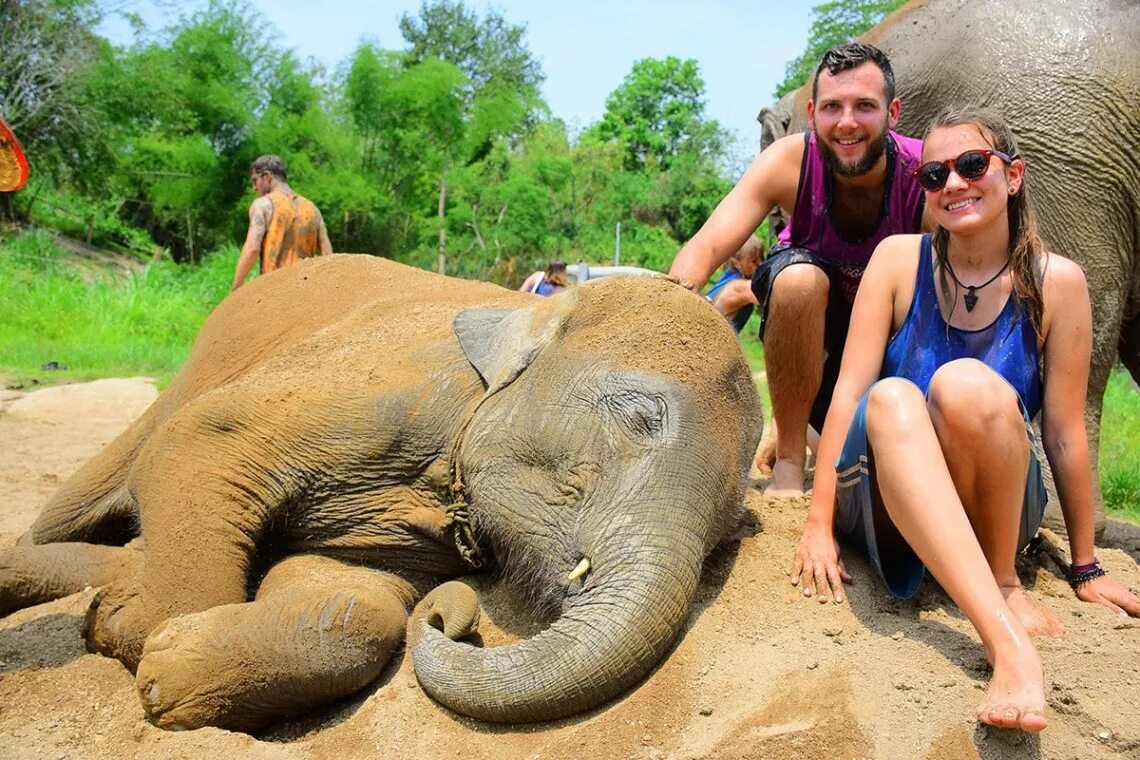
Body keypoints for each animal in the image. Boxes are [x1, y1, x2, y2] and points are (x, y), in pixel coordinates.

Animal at [2, 257, 766, 738]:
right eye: (639, 417)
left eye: (727, 534)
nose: (454, 616)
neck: (530, 313)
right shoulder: (377, 383)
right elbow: (201, 441)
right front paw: (125, 621)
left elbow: (353, 601)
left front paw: (169, 671)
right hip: (193, 370)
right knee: (87, 495)